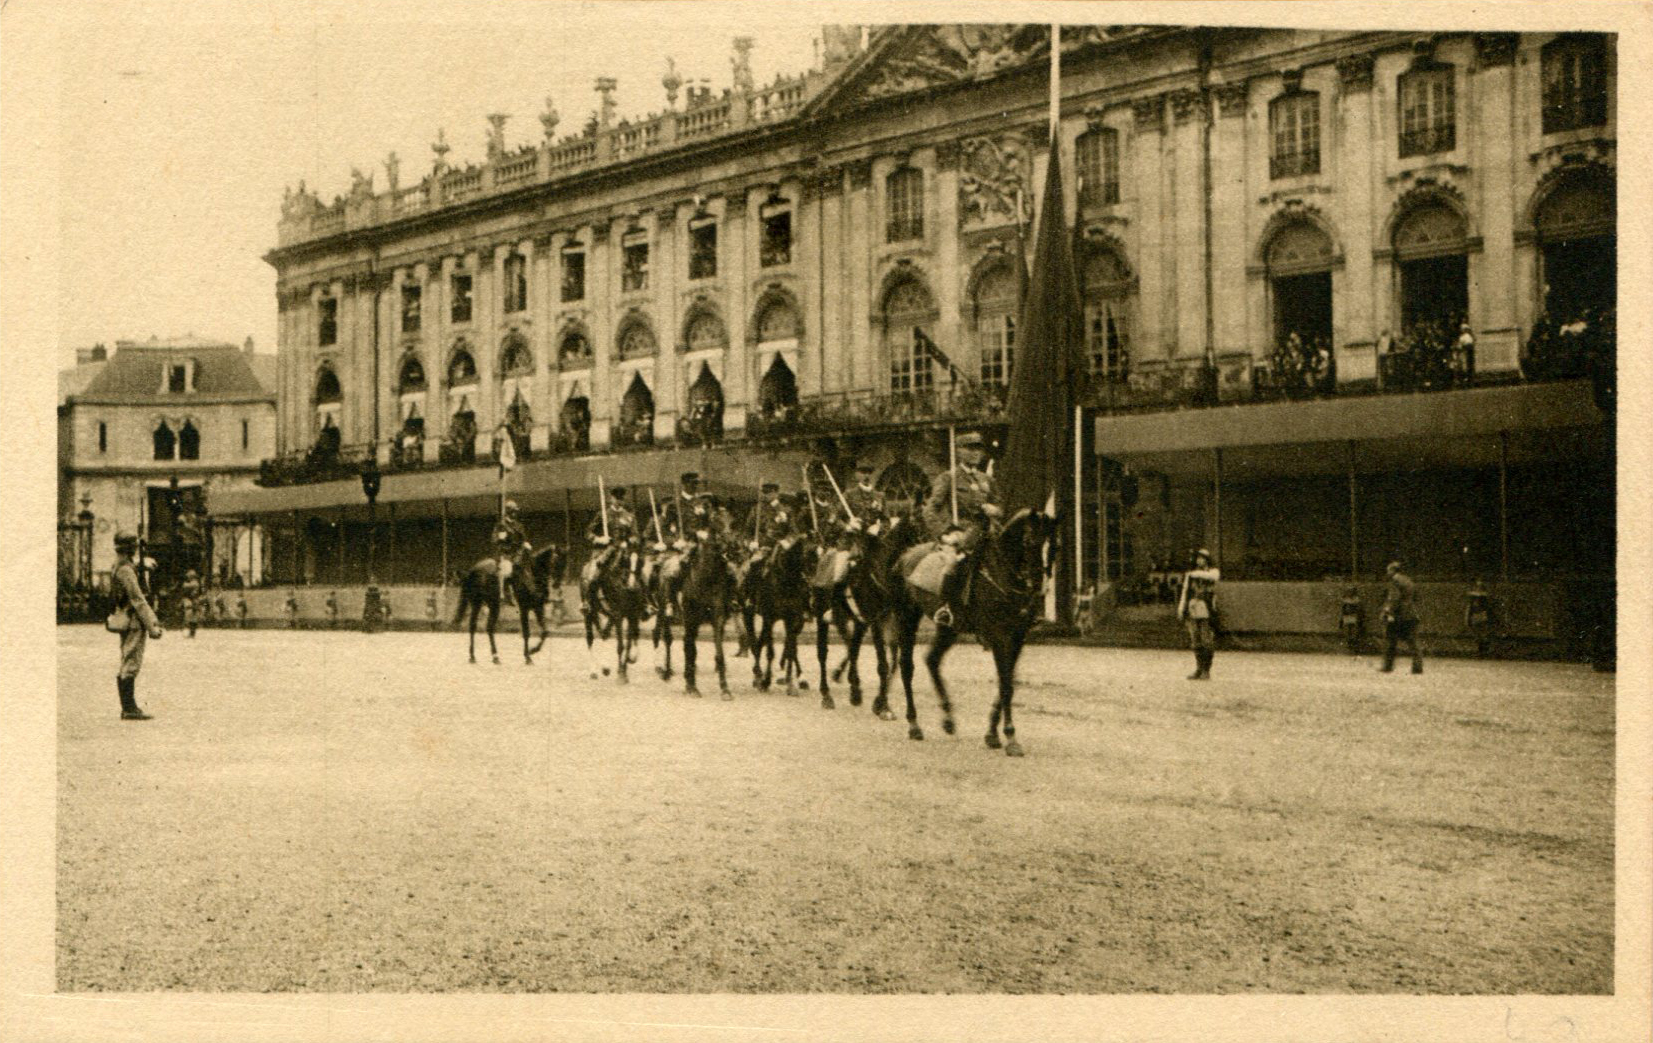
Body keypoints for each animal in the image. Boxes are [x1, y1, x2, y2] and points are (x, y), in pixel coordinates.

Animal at [740, 535, 816, 697]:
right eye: (808, 558)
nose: (811, 589)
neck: (787, 582)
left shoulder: (793, 619)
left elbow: (791, 650)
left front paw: (791, 684)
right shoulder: (770, 618)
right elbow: (771, 652)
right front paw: (766, 682)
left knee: (764, 643)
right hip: (748, 614)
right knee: (754, 643)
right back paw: (758, 676)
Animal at [879, 509, 1057, 753]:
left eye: (1052, 546)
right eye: (1029, 541)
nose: (1038, 585)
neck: (1002, 573)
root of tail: (905, 555)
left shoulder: (1017, 638)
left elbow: (1008, 681)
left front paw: (992, 734)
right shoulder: (999, 636)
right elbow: (1006, 685)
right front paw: (1010, 737)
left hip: (949, 627)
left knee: (932, 660)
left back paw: (948, 719)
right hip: (907, 616)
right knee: (907, 667)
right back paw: (914, 725)